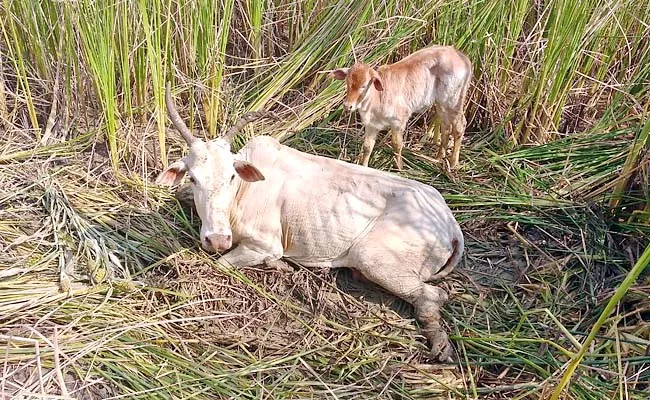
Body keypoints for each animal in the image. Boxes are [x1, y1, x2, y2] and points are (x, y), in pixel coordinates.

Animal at [155, 82, 464, 362]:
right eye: (193, 177)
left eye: (232, 176)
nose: (217, 239)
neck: (243, 192)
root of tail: (450, 224)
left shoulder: (264, 244)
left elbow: (224, 263)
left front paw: (278, 266)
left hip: (373, 258)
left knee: (432, 296)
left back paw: (440, 346)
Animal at [332, 45, 468, 170]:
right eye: (347, 83)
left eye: (364, 85)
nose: (347, 105)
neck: (376, 98)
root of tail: (462, 56)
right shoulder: (371, 125)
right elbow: (367, 147)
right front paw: (364, 167)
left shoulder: (398, 121)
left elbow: (397, 145)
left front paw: (399, 166)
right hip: (441, 104)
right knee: (446, 127)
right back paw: (439, 157)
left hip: (454, 101)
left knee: (459, 127)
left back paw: (453, 163)